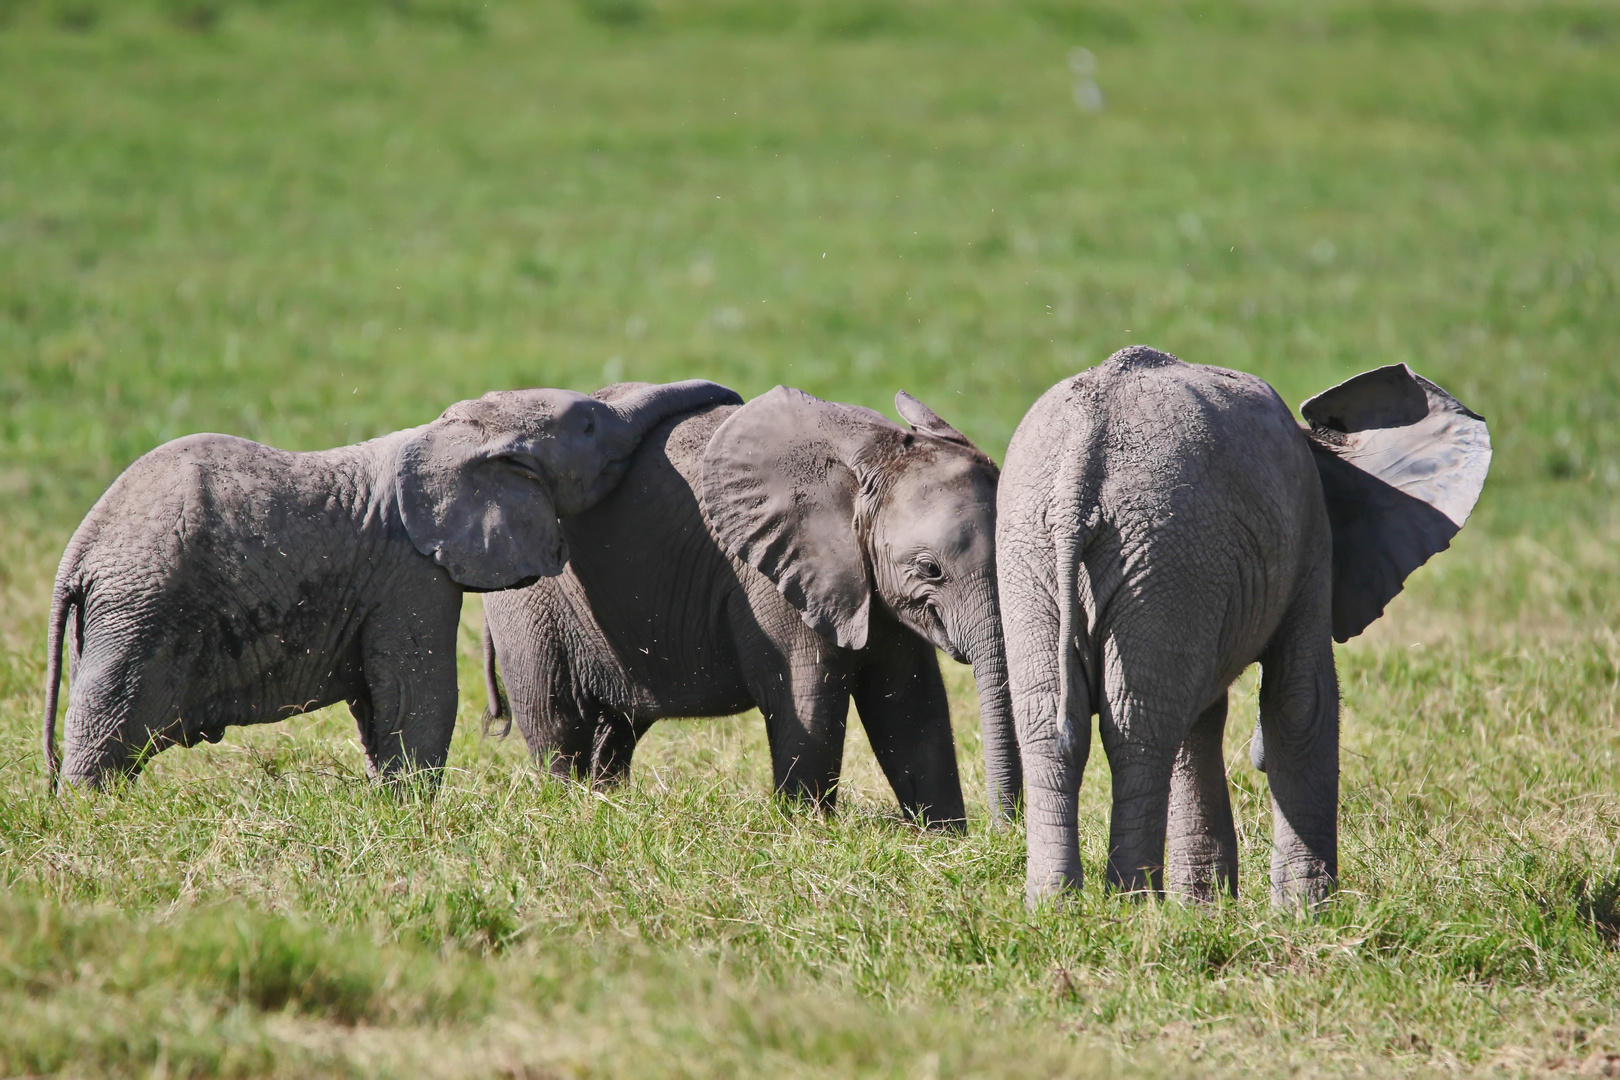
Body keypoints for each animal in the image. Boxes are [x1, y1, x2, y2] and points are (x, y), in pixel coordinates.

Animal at [44, 375, 741, 790]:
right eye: (592, 424)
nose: (728, 396)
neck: (442, 437)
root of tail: (77, 552)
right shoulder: (412, 574)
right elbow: (421, 697)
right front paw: (411, 813)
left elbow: (382, 704)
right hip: (140, 609)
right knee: (107, 730)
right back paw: (92, 812)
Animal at [479, 383, 1010, 835]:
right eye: (929, 569)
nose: (1004, 832)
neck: (873, 453)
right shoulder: (774, 581)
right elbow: (809, 702)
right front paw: (805, 833)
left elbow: (912, 708)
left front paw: (944, 840)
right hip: (528, 595)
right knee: (554, 717)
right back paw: (568, 808)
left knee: (618, 728)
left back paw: (606, 803)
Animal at [997, 351, 1490, 906]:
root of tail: (1082, 461)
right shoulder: (1308, 540)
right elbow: (1299, 700)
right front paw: (1305, 913)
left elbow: (1203, 720)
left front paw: (1203, 910)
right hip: (1160, 551)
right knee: (1138, 728)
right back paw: (1131, 906)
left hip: (1046, 552)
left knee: (1054, 723)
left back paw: (1056, 906)